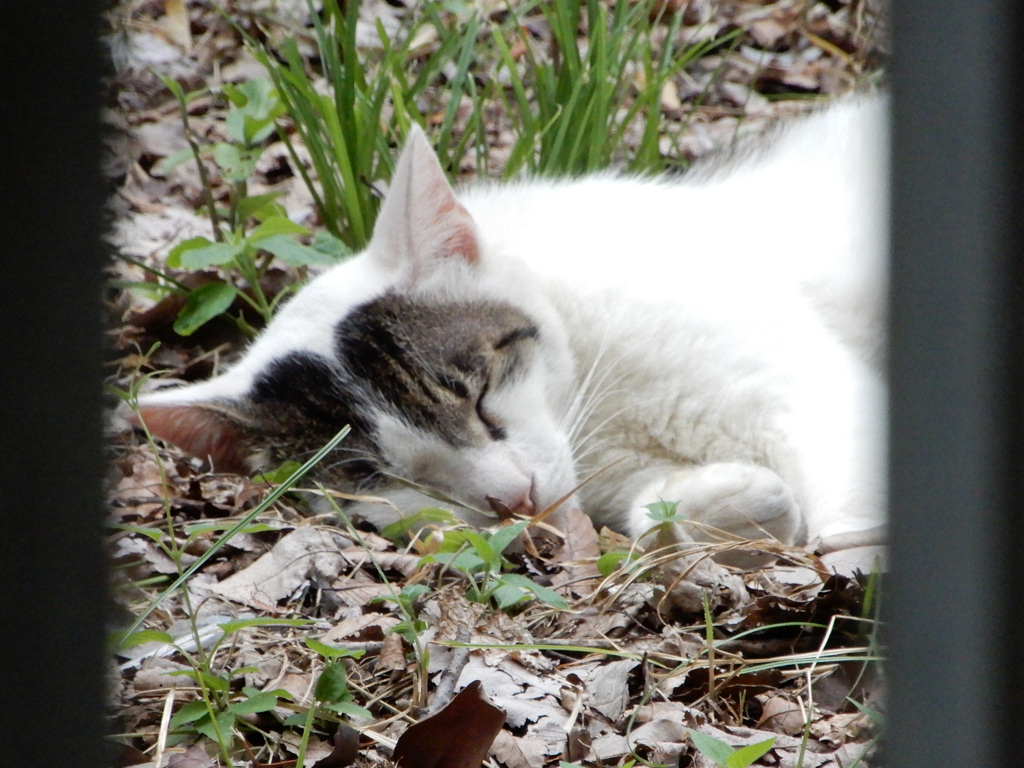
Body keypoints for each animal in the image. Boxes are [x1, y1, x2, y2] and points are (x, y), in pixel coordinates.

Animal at [136, 96, 888, 573]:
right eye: (390, 481)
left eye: (480, 395)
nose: (515, 501)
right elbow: (678, 510)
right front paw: (729, 504)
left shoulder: (806, 384)